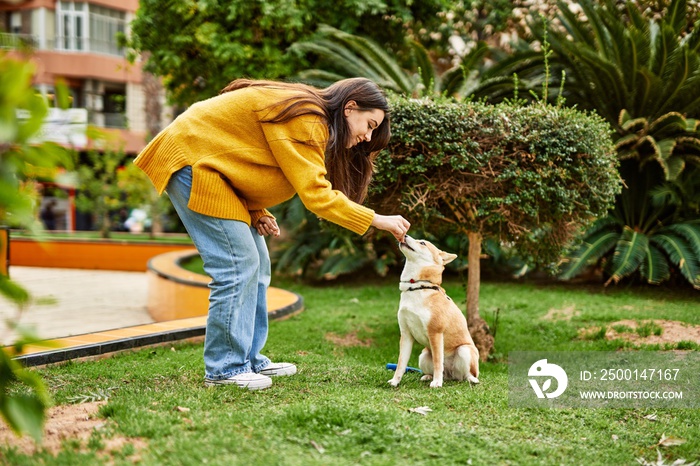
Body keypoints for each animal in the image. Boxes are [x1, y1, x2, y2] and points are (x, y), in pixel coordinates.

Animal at [388, 235, 482, 388]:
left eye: (422, 243)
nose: (405, 235)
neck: (417, 287)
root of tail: (450, 375)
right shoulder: (406, 334)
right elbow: (401, 363)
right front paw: (395, 381)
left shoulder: (435, 333)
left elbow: (438, 362)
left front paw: (437, 383)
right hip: (424, 355)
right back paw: (427, 376)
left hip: (464, 350)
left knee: (466, 374)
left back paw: (469, 379)